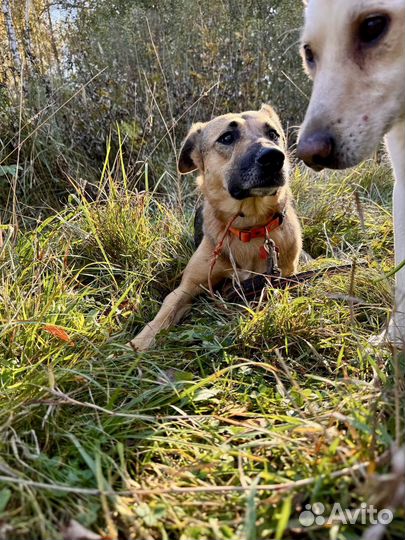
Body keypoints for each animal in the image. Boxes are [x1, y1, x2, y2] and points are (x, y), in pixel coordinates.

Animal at [128, 104, 302, 350]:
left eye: (273, 134)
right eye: (227, 137)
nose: (273, 157)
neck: (248, 227)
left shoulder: (282, 279)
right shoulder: (186, 288)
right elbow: (165, 312)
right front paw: (139, 343)